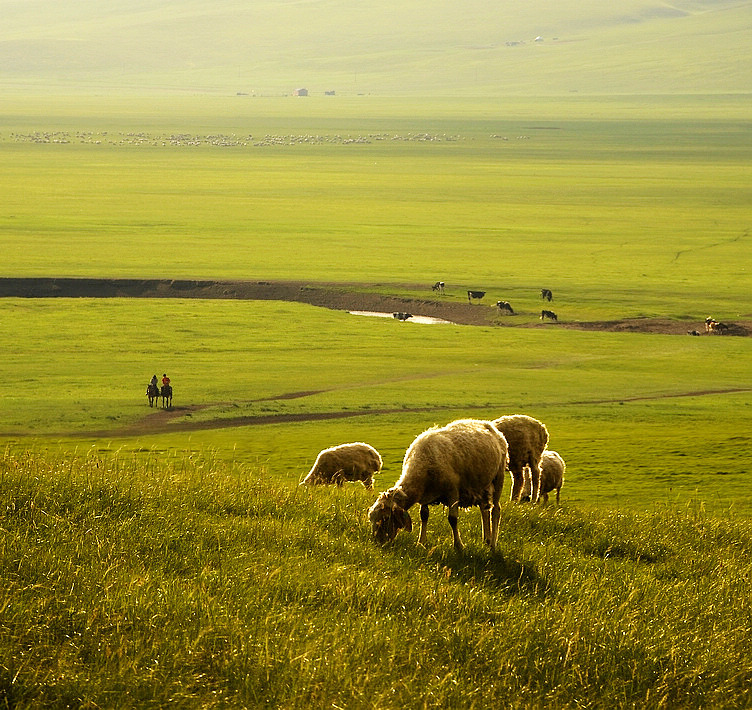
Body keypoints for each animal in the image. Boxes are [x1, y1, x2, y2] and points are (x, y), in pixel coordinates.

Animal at [368, 420, 508, 552]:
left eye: (386, 518)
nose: (378, 543)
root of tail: (488, 425)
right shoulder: (425, 495)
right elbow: (423, 516)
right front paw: (421, 542)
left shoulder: (453, 491)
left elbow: (452, 519)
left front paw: (458, 545)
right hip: (481, 484)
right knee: (484, 509)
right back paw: (487, 539)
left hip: (499, 476)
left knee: (496, 510)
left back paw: (493, 544)